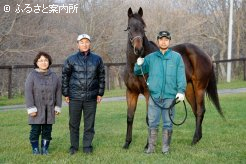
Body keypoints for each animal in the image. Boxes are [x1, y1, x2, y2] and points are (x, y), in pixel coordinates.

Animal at [123, 7, 225, 149]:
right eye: (129, 27)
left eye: (143, 27)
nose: (138, 49)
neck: (137, 66)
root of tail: (205, 55)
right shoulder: (131, 92)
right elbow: (129, 117)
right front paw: (127, 143)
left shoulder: (149, 94)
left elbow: (149, 118)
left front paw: (148, 145)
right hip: (188, 90)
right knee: (195, 111)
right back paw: (197, 138)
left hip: (199, 88)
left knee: (200, 111)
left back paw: (194, 139)